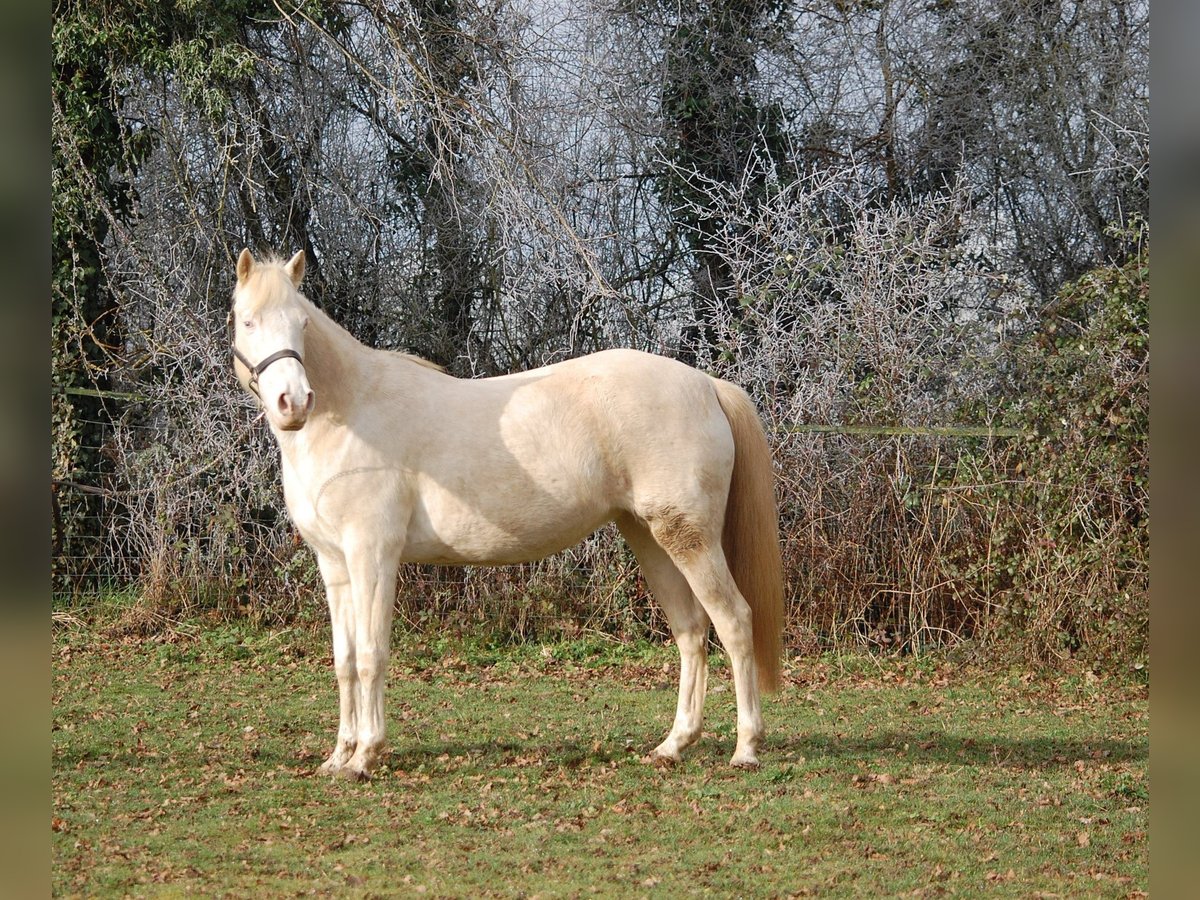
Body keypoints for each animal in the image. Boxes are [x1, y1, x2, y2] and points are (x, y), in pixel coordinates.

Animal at [229, 248, 787, 782]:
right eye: (247, 321)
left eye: (301, 322)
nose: (293, 402)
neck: (350, 415)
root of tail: (707, 385)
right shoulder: (336, 564)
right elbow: (345, 660)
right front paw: (338, 757)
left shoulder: (373, 556)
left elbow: (371, 655)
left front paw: (365, 755)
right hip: (651, 537)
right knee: (691, 631)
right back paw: (673, 745)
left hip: (690, 539)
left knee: (734, 622)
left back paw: (746, 749)